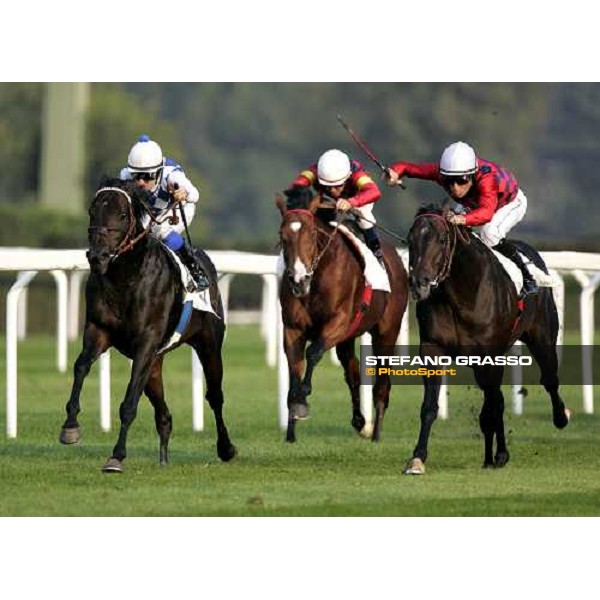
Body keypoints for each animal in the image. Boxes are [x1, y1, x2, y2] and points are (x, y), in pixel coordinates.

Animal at [59, 179, 237, 474]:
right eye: (92, 211)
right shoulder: (99, 332)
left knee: (215, 396)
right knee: (162, 410)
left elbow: (129, 403)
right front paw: (70, 426)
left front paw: (116, 456)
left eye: (122, 214)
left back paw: (226, 448)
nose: (97, 257)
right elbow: (81, 366)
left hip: (209, 344)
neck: (125, 280)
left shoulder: (145, 342)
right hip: (155, 360)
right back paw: (163, 455)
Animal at [276, 190, 408, 442]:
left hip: (387, 331)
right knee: (352, 371)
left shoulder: (337, 321)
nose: (298, 280)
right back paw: (360, 421)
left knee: (382, 381)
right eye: (282, 235)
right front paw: (291, 426)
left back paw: (376, 433)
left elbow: (313, 352)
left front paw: (303, 396)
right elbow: (294, 365)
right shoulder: (293, 328)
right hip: (349, 336)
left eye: (311, 234)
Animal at [406, 205, 568, 474]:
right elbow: (429, 406)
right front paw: (417, 458)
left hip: (542, 338)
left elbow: (494, 405)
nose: (420, 283)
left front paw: (501, 453)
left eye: (442, 240)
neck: (461, 294)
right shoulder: (432, 348)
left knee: (549, 379)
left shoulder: (489, 355)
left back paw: (560, 417)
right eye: (410, 240)